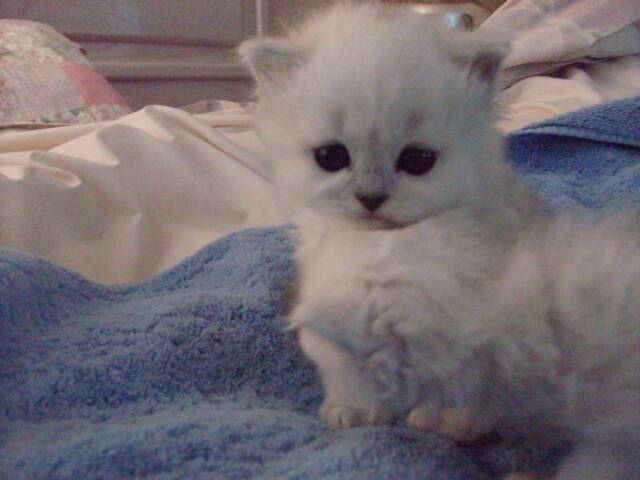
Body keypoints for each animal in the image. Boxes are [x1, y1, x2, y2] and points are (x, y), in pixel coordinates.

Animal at [240, 2, 640, 479]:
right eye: (331, 157)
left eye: (417, 161)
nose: (370, 198)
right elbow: (336, 360)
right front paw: (349, 409)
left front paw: (440, 420)